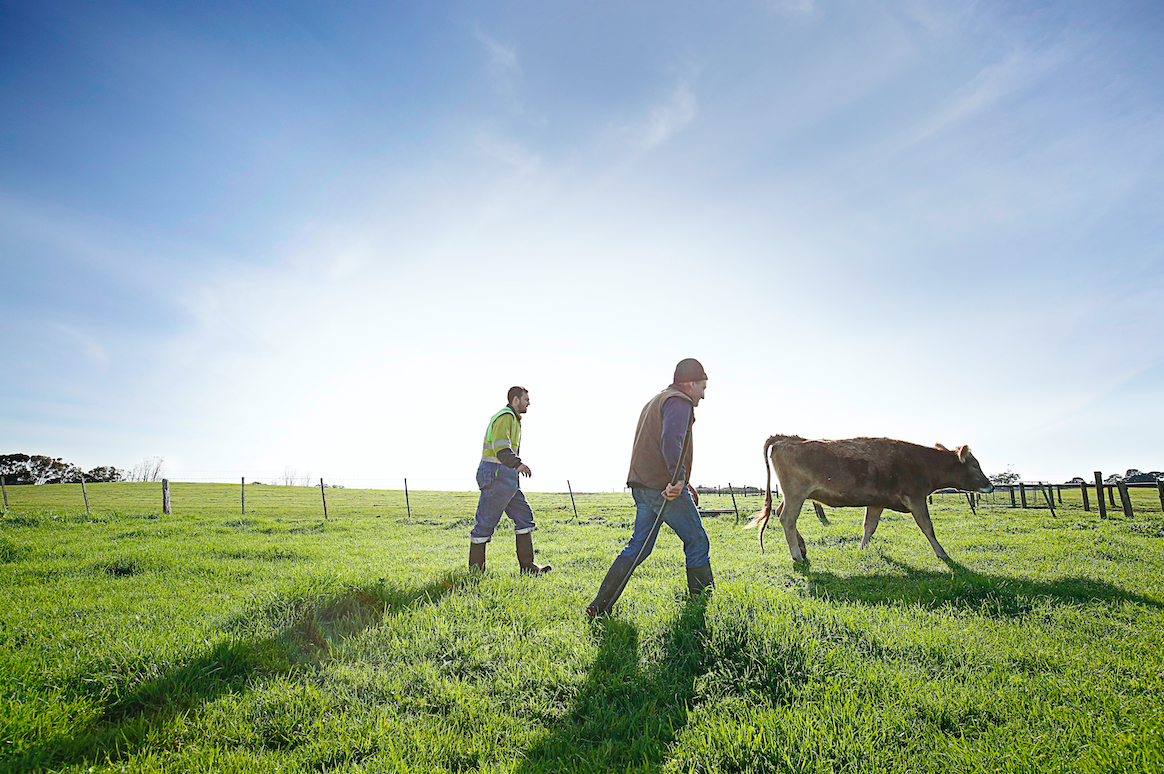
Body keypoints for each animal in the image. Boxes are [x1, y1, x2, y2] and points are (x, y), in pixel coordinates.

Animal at [744, 435, 991, 561]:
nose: (989, 485)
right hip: (796, 493)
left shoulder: (876, 502)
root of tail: (788, 439)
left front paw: (862, 549)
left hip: (794, 495)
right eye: (975, 465)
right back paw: (797, 555)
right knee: (787, 518)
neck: (921, 461)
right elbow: (928, 527)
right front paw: (943, 554)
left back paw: (802, 548)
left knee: (779, 513)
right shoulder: (916, 499)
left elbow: (869, 527)